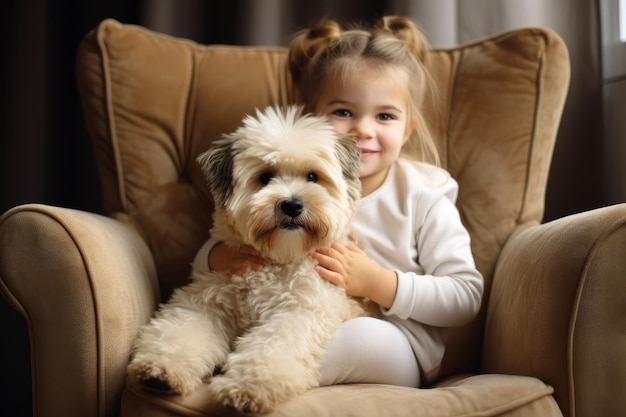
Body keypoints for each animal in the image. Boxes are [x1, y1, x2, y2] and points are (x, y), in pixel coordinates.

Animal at [124, 105, 372, 412]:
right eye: (265, 177)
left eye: (313, 177)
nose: (292, 205)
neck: (276, 259)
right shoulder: (206, 301)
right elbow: (181, 332)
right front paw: (161, 368)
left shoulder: (298, 313)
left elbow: (268, 350)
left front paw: (246, 388)